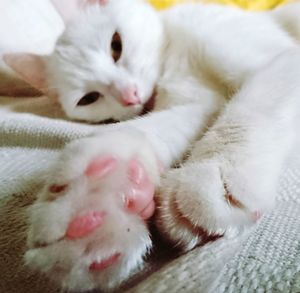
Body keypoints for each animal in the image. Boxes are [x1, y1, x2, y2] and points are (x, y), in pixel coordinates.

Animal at [4, 0, 300, 290]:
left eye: (116, 46)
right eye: (88, 98)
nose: (129, 95)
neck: (171, 55)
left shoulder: (281, 58)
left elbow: (255, 104)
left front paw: (214, 170)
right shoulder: (198, 103)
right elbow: (152, 127)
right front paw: (97, 193)